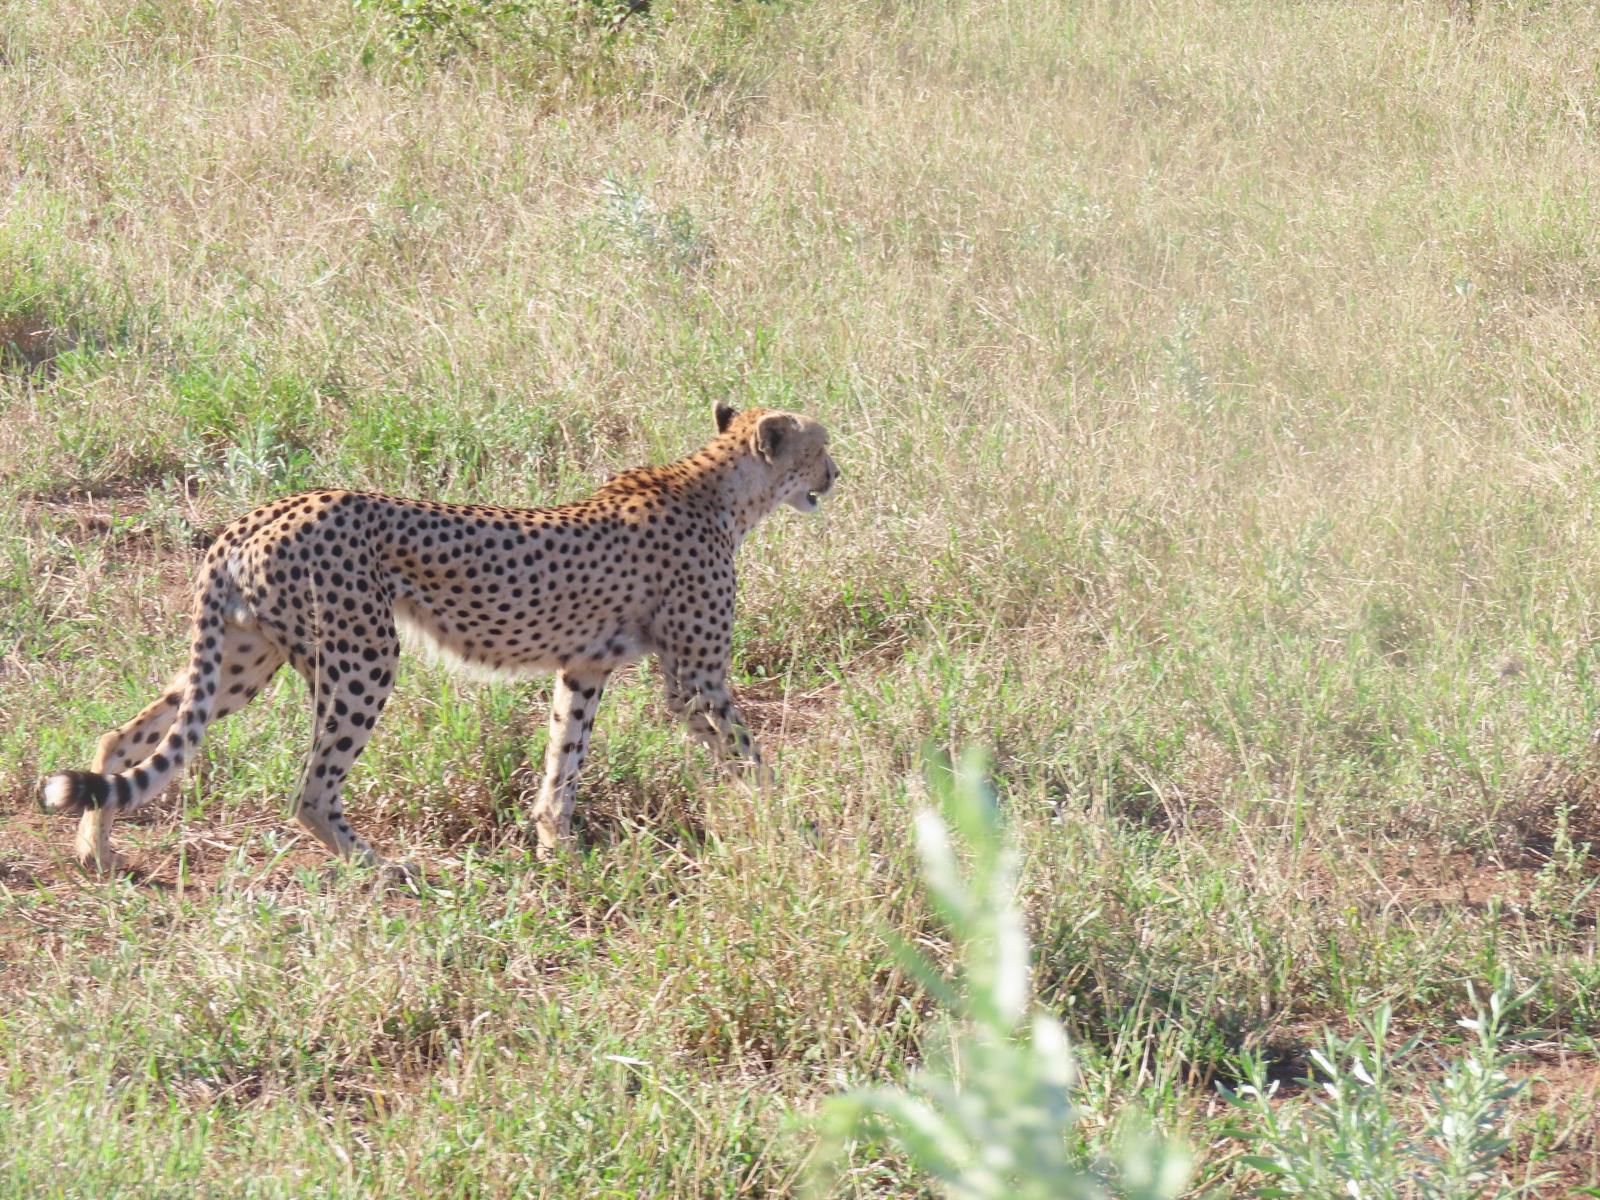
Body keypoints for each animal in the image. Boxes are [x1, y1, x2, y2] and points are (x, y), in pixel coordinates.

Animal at [37, 409, 838, 876]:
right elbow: (751, 757)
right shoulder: (697, 681)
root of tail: (256, 514)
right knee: (311, 790)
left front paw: (556, 847)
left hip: (243, 658)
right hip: (362, 656)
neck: (720, 487)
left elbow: (563, 759)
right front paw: (798, 826)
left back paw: (94, 847)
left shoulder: (582, 667)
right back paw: (383, 867)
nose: (837, 474)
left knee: (127, 735)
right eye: (820, 447)